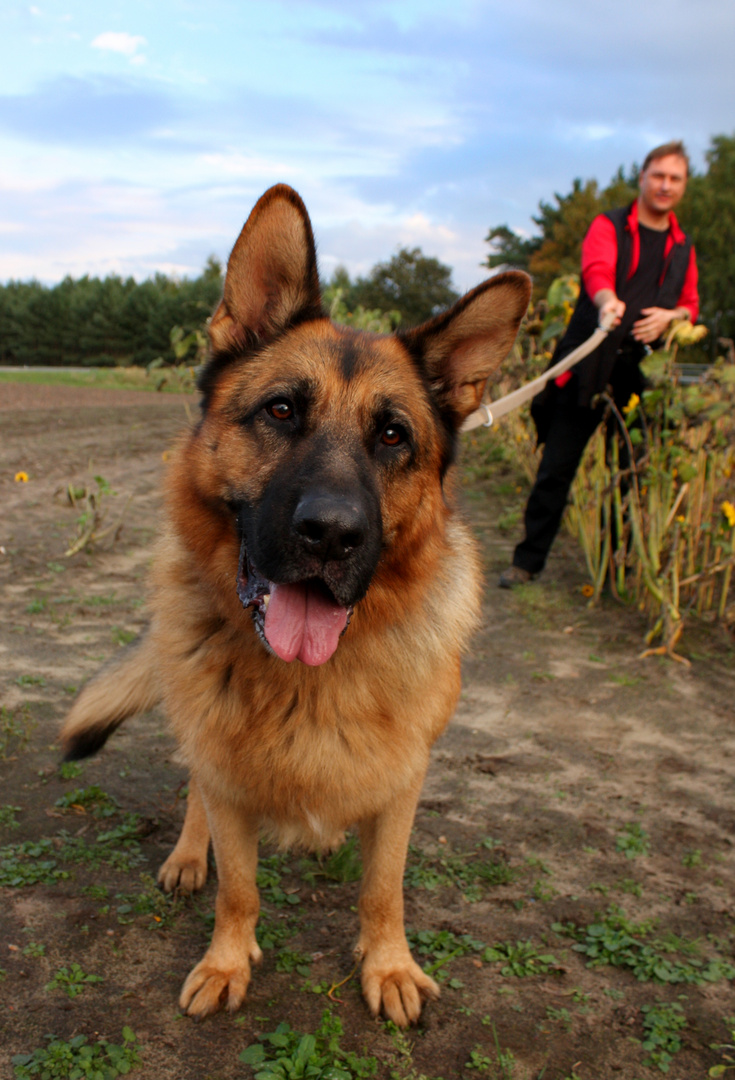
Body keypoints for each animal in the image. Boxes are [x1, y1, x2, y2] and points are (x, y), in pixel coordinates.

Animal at [58, 187, 526, 1028]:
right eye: (279, 411)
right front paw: (226, 961)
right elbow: (239, 887)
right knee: (195, 797)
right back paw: (189, 855)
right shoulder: (224, 768)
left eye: (393, 435)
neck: (307, 680)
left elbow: (383, 890)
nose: (331, 535)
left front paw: (387, 964)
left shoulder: (403, 779)